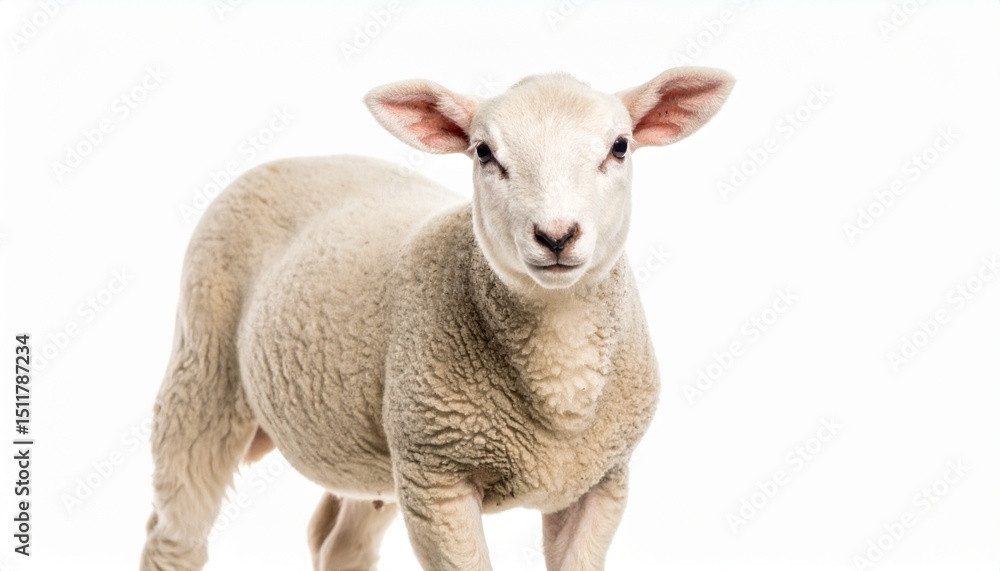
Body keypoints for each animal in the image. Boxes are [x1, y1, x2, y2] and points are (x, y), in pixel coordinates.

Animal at [140, 66, 734, 571]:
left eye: (620, 146)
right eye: (484, 152)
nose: (556, 235)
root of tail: (301, 159)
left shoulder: (600, 483)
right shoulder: (435, 481)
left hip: (374, 455)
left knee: (338, 545)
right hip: (204, 367)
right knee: (174, 533)